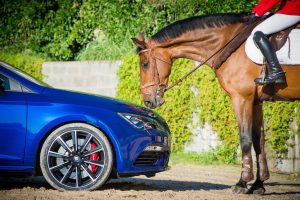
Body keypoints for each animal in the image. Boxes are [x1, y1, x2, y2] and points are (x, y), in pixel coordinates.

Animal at [133, 13, 300, 195]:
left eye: (145, 64)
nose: (148, 100)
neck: (229, 44)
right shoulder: (255, 102)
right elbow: (258, 140)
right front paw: (258, 184)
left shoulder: (242, 99)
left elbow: (245, 138)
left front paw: (242, 183)